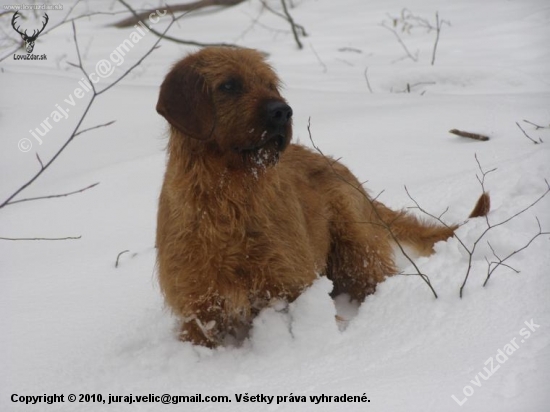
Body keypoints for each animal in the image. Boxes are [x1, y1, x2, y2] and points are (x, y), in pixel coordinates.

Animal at [156, 46, 492, 346]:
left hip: (355, 247)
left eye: (270, 84)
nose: (283, 111)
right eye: (229, 85)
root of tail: (339, 166)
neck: (228, 198)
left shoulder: (290, 285)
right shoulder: (199, 308)